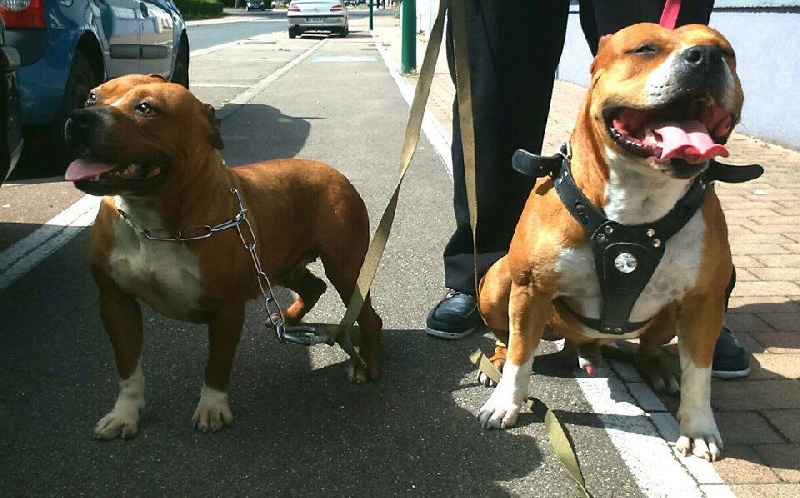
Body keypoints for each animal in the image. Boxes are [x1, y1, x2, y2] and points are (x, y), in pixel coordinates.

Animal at [65, 74, 382, 439]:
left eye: (146, 108)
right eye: (91, 97)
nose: (79, 117)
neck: (154, 221)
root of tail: (333, 171)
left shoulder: (226, 309)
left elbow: (217, 364)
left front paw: (212, 407)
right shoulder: (115, 301)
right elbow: (128, 365)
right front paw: (124, 413)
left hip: (346, 268)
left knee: (368, 316)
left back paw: (367, 364)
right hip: (279, 264)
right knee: (313, 287)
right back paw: (287, 319)